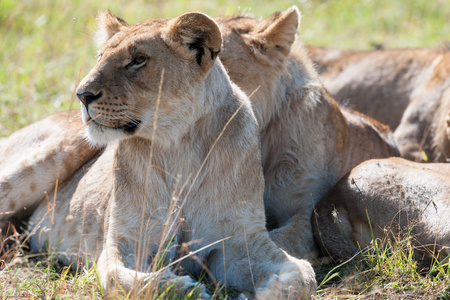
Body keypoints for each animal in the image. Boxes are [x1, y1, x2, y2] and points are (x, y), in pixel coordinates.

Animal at [2, 9, 316, 298]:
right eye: (100, 57)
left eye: (137, 60)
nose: (82, 94)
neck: (180, 146)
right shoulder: (124, 241)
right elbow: (125, 281)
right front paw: (186, 289)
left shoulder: (241, 240)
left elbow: (302, 276)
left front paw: (270, 289)